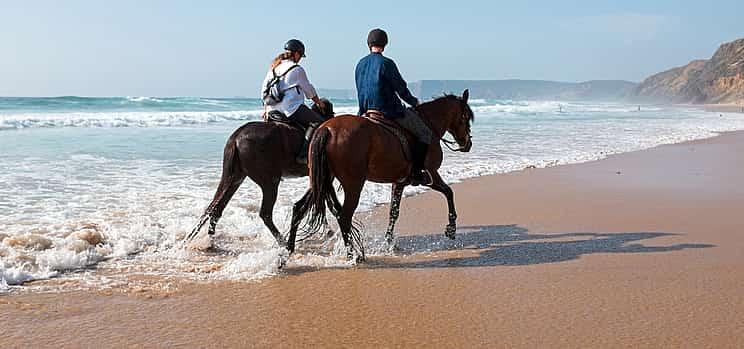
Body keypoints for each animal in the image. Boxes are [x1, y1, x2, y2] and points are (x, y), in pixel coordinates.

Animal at [186, 100, 334, 246]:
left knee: (216, 207)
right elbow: (324, 200)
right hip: (270, 181)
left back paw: (209, 240)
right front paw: (329, 230)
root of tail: (236, 137)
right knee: (265, 213)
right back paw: (283, 242)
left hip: (234, 177)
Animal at [288, 89, 474, 258]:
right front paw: (451, 229)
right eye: (465, 117)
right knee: (344, 217)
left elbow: (393, 212)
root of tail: (327, 128)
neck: (429, 124)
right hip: (353, 184)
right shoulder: (432, 175)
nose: (467, 144)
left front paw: (388, 243)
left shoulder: (399, 182)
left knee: (299, 208)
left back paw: (287, 251)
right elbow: (449, 192)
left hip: (322, 179)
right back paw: (353, 256)